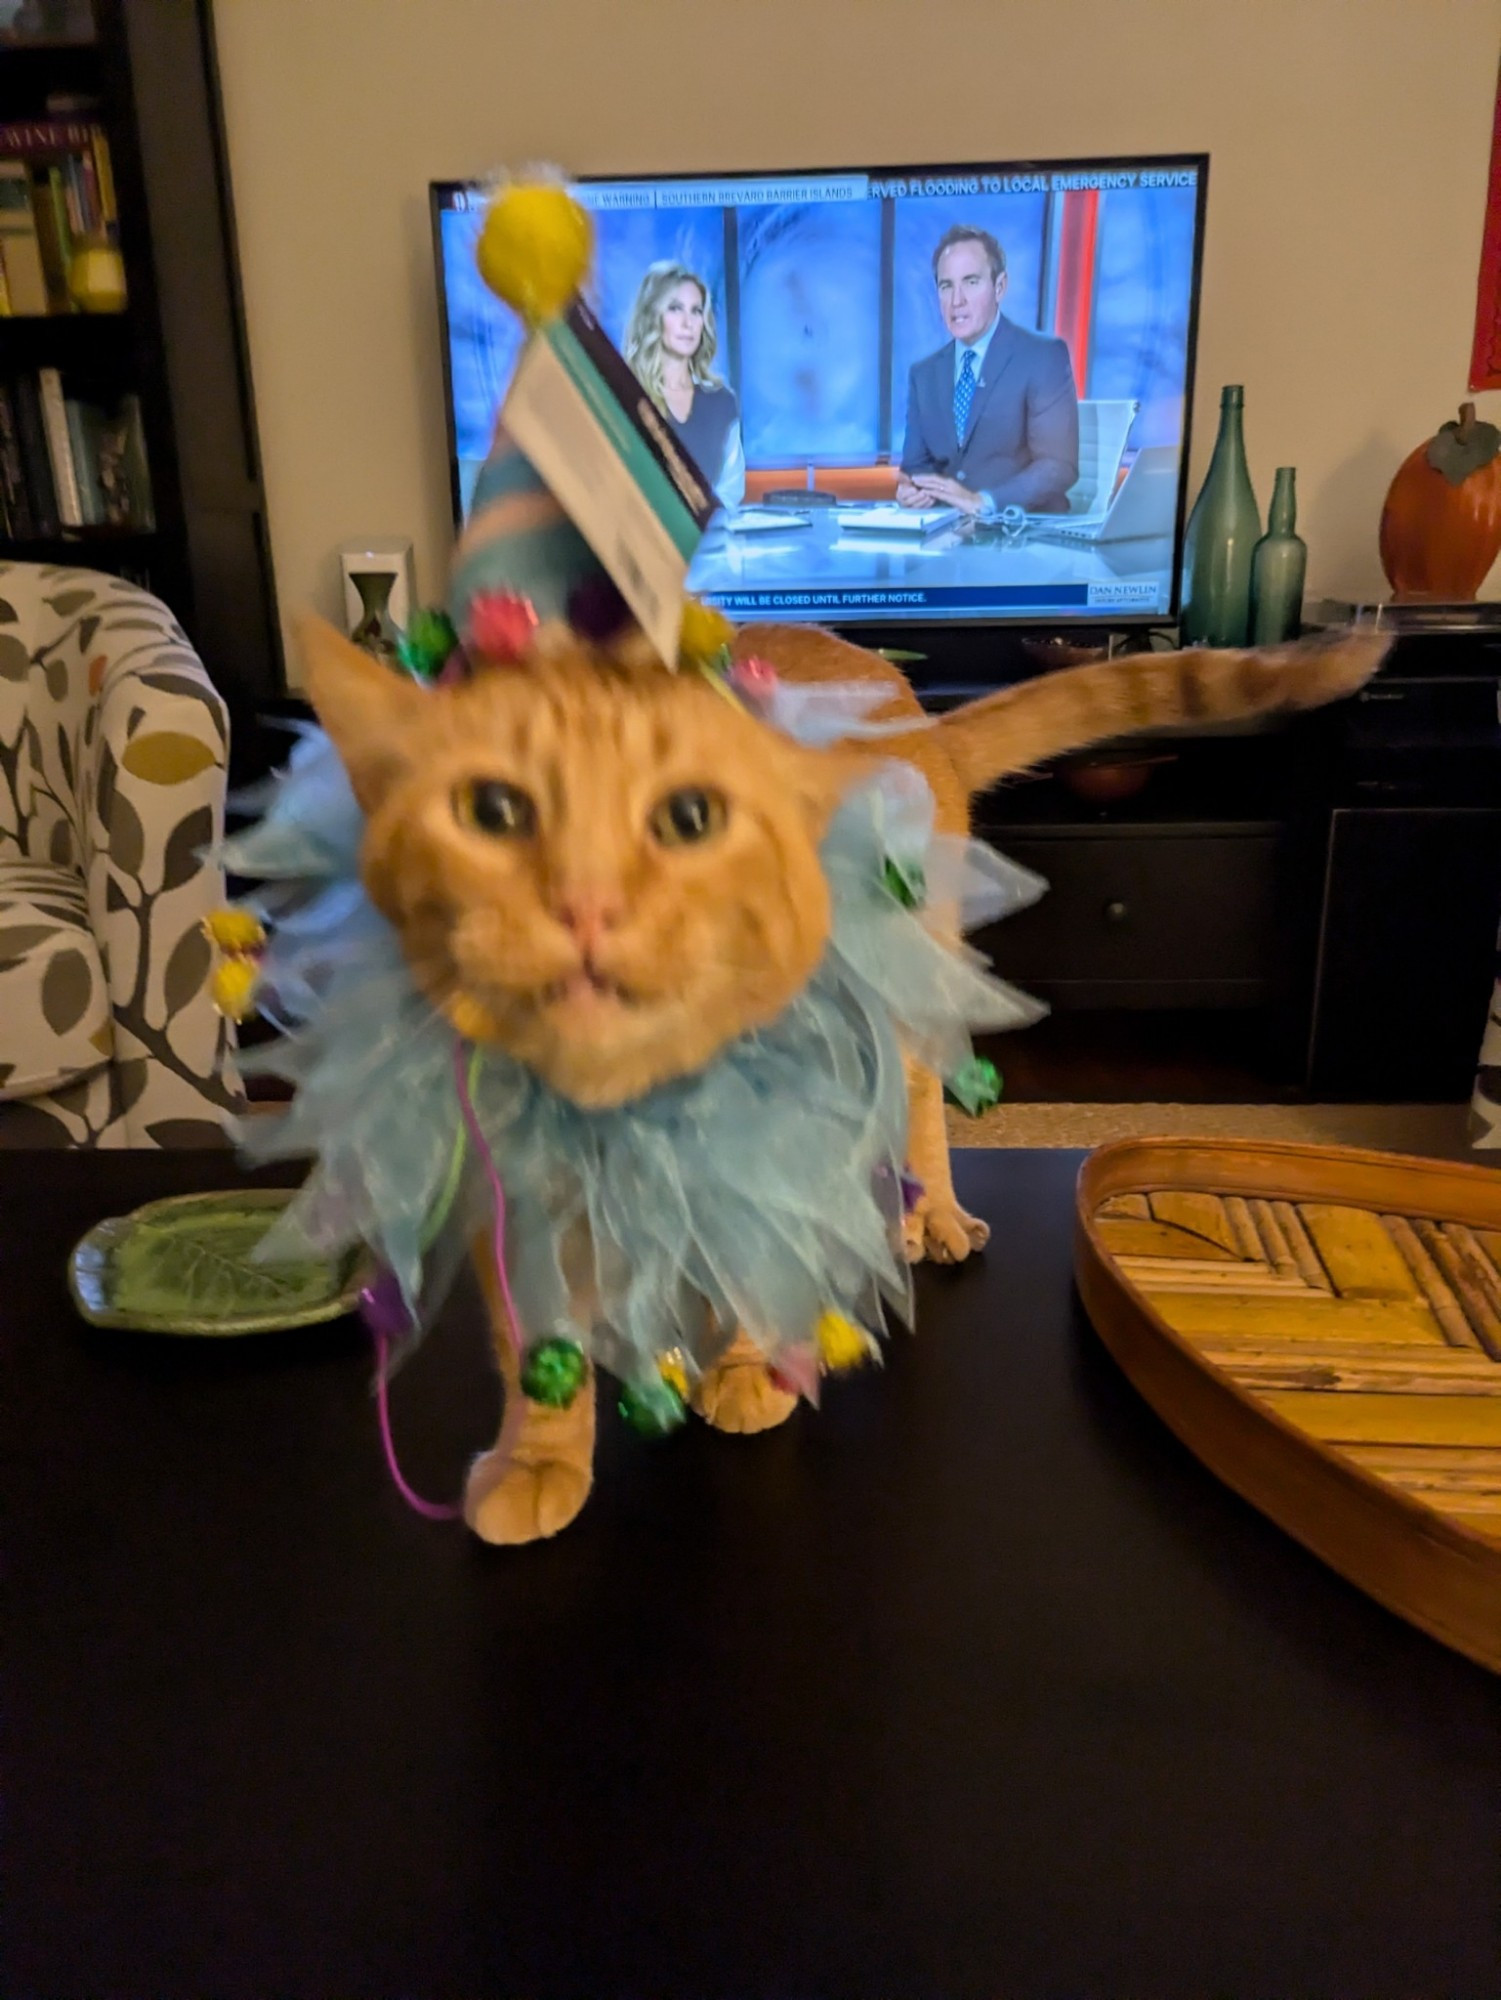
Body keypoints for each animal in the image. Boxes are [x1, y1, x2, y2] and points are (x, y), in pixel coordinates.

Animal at [300, 612, 1392, 1544]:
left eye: (688, 819)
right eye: (492, 812)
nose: (588, 906)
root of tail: (912, 710)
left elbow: (752, 1249)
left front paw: (747, 1366)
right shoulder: (512, 1190)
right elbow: (536, 1346)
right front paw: (537, 1459)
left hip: (906, 981)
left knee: (916, 1100)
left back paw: (929, 1215)